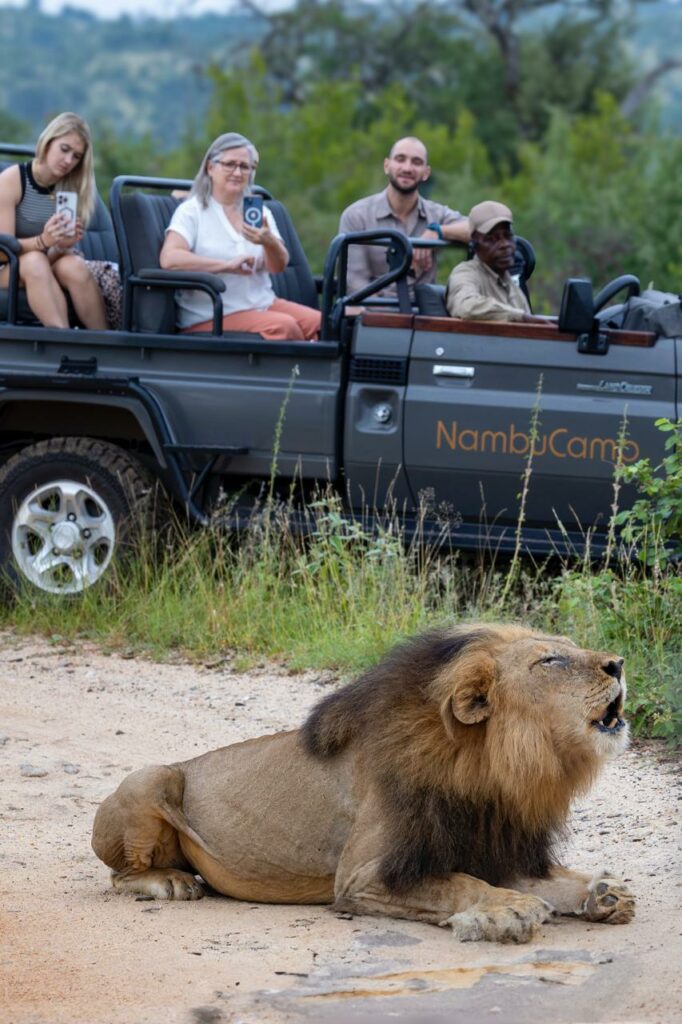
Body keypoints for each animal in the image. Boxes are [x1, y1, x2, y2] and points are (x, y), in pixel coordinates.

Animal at [91, 623, 635, 943]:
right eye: (550, 661)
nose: (619, 663)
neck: (492, 769)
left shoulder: (494, 847)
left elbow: (547, 881)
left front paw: (603, 891)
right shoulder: (364, 877)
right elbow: (458, 884)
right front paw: (508, 909)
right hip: (153, 776)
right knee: (121, 875)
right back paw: (171, 882)